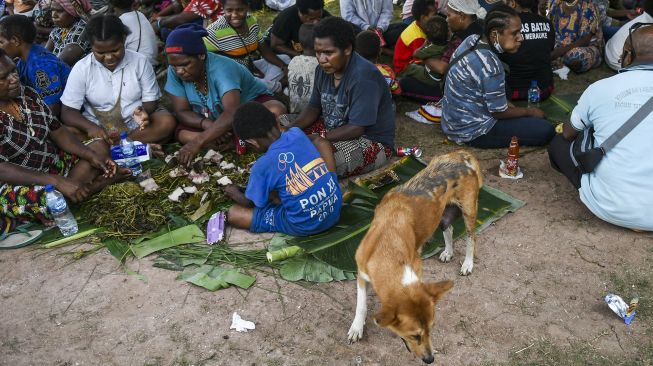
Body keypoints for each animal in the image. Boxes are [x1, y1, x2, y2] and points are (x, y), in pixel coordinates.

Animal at [346, 149, 484, 364]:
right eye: (415, 336)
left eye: (431, 329)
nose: (431, 359)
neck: (387, 244)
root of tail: (461, 155)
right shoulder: (362, 274)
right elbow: (361, 305)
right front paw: (356, 328)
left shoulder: (415, 267)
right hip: (441, 216)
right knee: (450, 229)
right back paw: (448, 252)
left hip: (469, 211)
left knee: (471, 239)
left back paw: (468, 264)